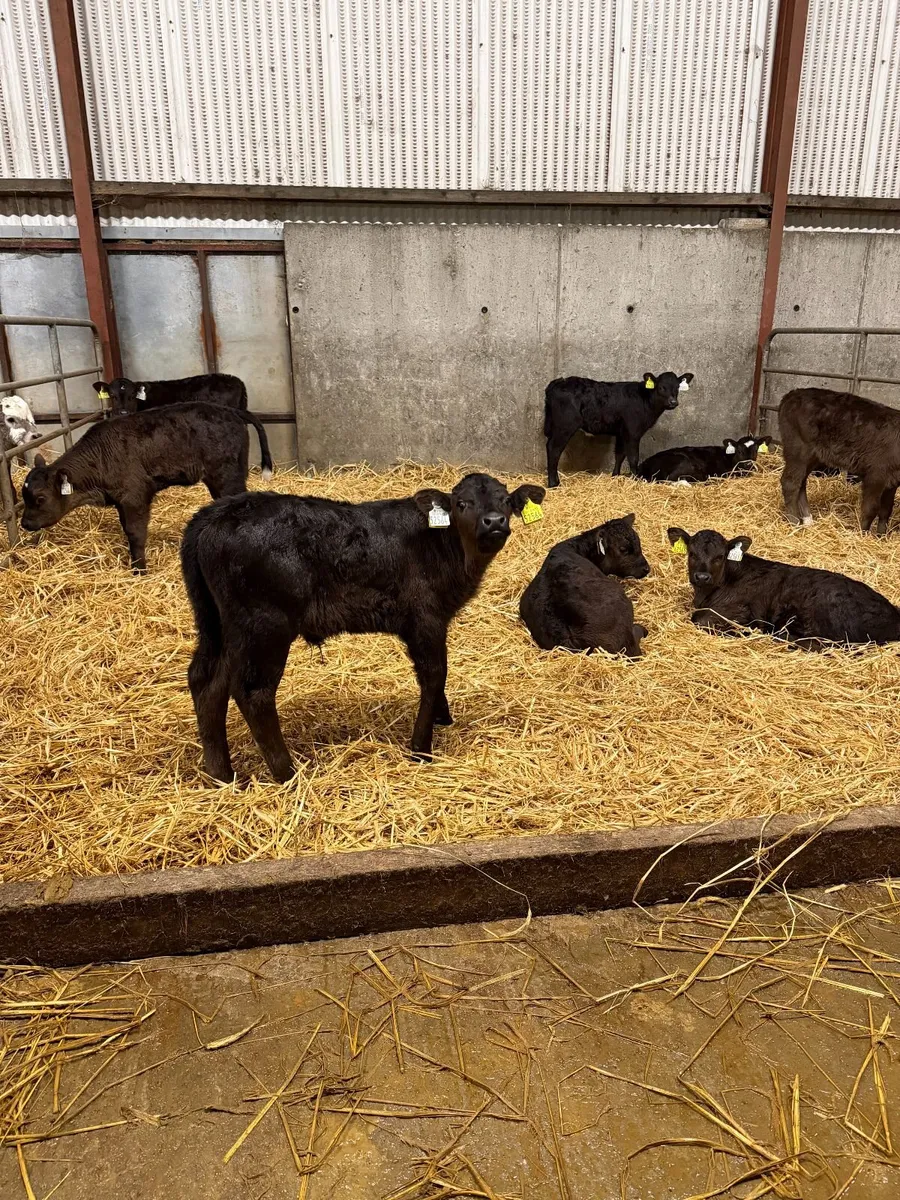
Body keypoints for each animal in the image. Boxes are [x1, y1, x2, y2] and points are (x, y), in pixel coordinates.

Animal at [20, 403, 273, 573]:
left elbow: (136, 532)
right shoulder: (121, 501)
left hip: (226, 475)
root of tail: (229, 410)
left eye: (40, 498)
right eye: (24, 495)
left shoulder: (135, 496)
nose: (25, 523)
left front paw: (139, 570)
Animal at [180, 472, 546, 782]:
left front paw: (442, 718)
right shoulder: (425, 618)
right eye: (461, 504)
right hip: (265, 624)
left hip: (219, 625)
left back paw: (221, 775)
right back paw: (287, 773)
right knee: (253, 692)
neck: (447, 547)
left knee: (206, 682)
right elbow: (433, 674)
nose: (494, 521)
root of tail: (217, 512)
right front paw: (421, 746)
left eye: (505, 500)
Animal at [543, 370, 694, 487]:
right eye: (662, 387)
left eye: (677, 387)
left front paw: (615, 476)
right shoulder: (633, 432)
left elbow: (620, 455)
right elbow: (633, 457)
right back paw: (554, 484)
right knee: (554, 449)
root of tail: (559, 381)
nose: (673, 402)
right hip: (565, 426)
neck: (645, 401)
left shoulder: (622, 432)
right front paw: (636, 479)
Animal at [666, 526, 900, 648]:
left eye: (720, 556)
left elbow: (699, 621)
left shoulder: (734, 613)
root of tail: (893, 613)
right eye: (691, 553)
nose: (702, 576)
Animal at [779, 387, 900, 534]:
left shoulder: (892, 481)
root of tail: (792, 394)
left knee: (801, 483)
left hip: (813, 456)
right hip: (798, 450)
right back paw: (794, 522)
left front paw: (881, 535)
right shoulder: (876, 474)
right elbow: (870, 509)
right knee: (790, 483)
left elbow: (886, 510)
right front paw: (862, 534)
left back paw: (808, 520)